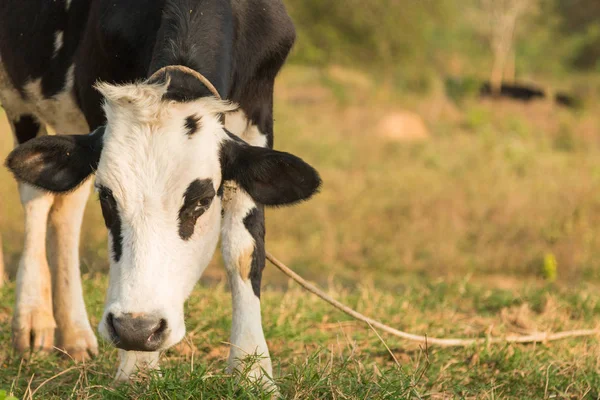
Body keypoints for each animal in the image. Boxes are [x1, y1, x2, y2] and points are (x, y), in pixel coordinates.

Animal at [0, 0, 322, 382]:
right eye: (107, 197)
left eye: (201, 201)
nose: (135, 329)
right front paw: (136, 369)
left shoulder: (257, 112)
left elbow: (244, 249)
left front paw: (252, 370)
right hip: (20, 95)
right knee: (36, 198)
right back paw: (33, 318)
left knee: (65, 206)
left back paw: (75, 334)